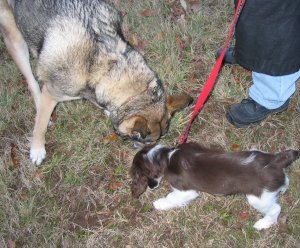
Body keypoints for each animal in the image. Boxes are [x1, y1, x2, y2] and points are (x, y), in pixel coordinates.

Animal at [0, 0, 192, 166]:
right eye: (143, 139)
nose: (148, 153)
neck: (104, 66)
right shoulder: (51, 93)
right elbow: (39, 125)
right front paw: (37, 149)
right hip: (16, 40)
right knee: (31, 81)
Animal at [130, 143, 298, 231]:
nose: (151, 187)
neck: (167, 156)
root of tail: (275, 161)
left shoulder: (185, 191)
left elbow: (172, 197)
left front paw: (159, 204)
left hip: (258, 197)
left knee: (275, 209)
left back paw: (263, 223)